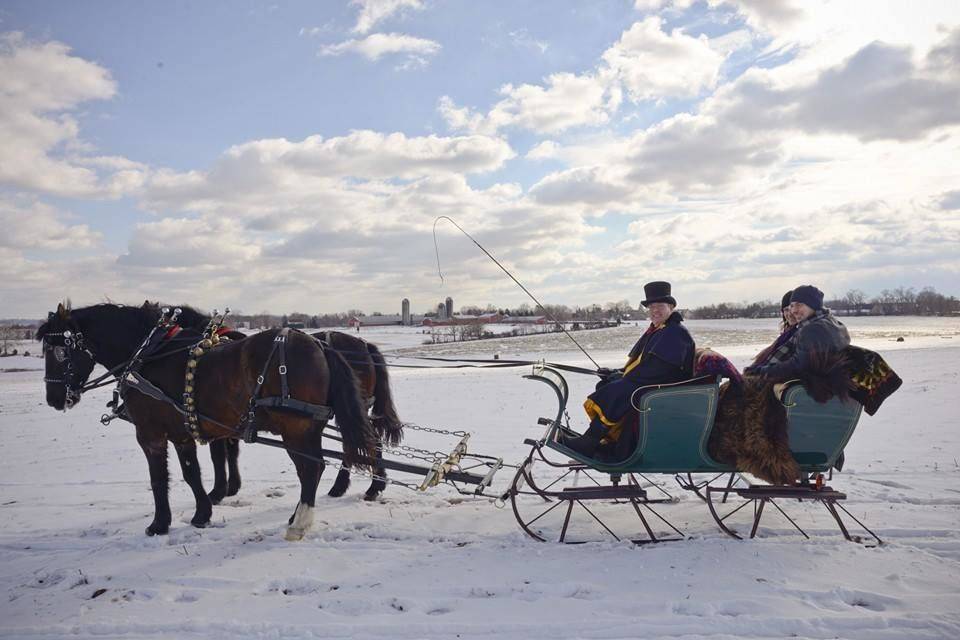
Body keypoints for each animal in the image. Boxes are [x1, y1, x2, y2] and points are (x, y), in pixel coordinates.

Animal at [37, 302, 376, 536]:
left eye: (59, 352)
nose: (54, 399)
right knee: (318, 465)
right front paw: (203, 512)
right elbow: (193, 473)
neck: (148, 354)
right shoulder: (184, 431)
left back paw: (300, 522)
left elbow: (159, 478)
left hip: (296, 427)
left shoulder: (150, 434)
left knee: (311, 468)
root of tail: (319, 344)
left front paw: (159, 524)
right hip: (309, 426)